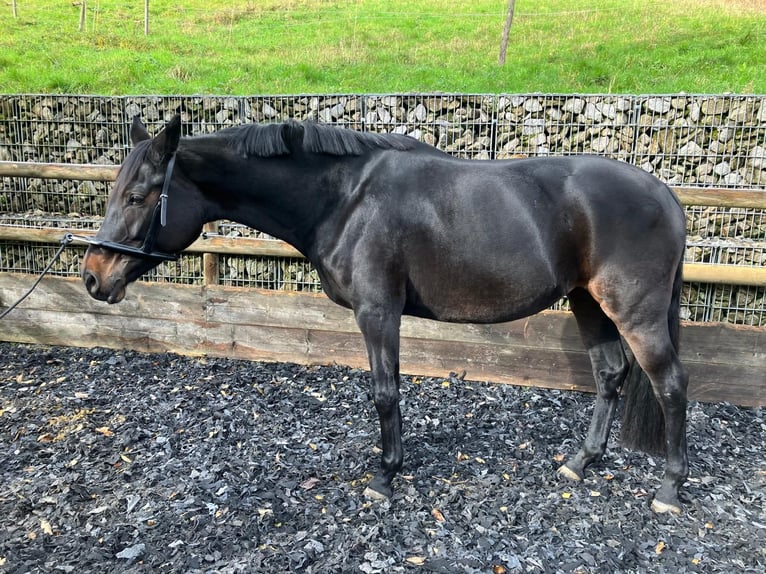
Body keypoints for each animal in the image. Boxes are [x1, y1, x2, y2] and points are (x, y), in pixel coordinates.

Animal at [81, 115, 692, 516]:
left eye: (138, 196)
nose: (92, 277)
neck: (346, 199)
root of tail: (664, 193)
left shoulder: (378, 313)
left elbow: (384, 392)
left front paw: (385, 475)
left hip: (634, 313)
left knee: (671, 385)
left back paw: (669, 488)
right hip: (588, 302)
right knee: (610, 374)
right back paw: (580, 461)